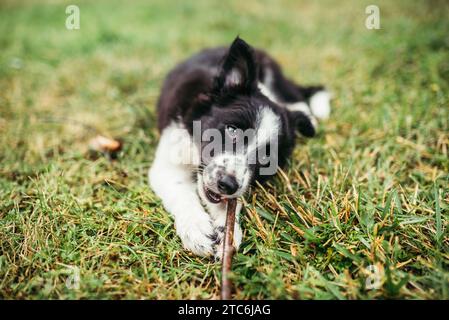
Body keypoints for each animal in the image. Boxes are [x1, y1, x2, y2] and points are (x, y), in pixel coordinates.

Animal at [149, 37, 330, 260]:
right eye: (232, 130)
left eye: (266, 158)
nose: (227, 184)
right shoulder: (167, 164)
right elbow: (181, 193)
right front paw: (197, 230)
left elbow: (228, 204)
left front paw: (227, 233)